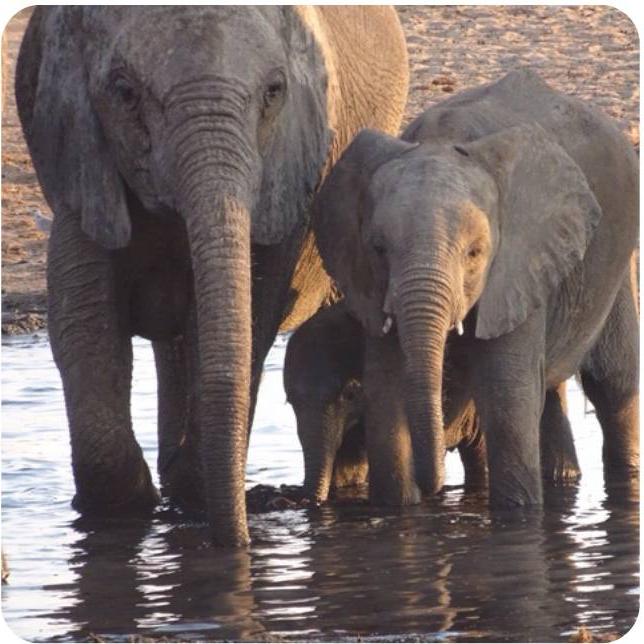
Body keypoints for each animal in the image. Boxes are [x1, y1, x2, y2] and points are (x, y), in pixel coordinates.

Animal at [15, 7, 410, 544]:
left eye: (274, 92)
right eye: (125, 92)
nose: (240, 541)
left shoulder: (289, 166)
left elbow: (250, 313)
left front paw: (200, 499)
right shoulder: (78, 157)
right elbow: (83, 322)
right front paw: (128, 512)